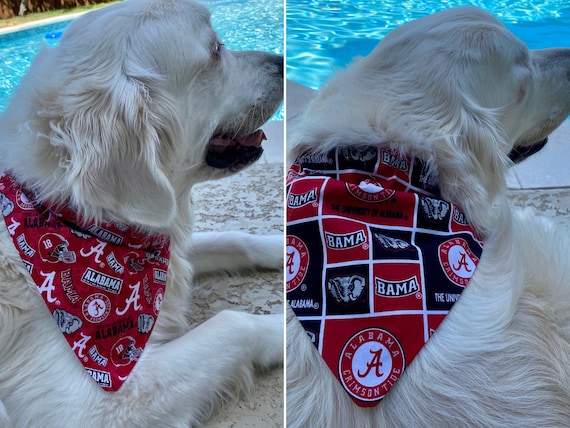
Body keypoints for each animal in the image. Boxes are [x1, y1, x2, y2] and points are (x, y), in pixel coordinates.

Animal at [0, 0, 282, 426]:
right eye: (215, 50)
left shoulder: (168, 247)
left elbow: (233, 239)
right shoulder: (93, 406)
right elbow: (235, 323)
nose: (282, 61)